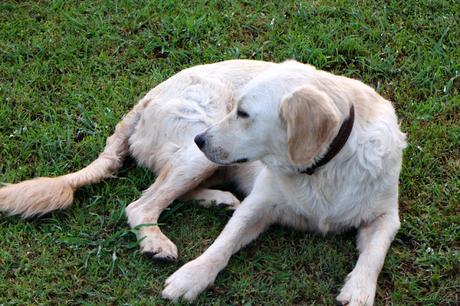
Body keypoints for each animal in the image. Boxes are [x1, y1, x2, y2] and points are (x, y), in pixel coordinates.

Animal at [0, 59, 404, 306]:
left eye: (244, 113)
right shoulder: (259, 204)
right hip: (196, 152)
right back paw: (156, 241)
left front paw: (359, 291)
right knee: (142, 203)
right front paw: (190, 278)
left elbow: (374, 256)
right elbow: (220, 246)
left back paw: (217, 200)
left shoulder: (386, 217)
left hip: (205, 160)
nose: (201, 140)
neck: (321, 169)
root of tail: (145, 98)